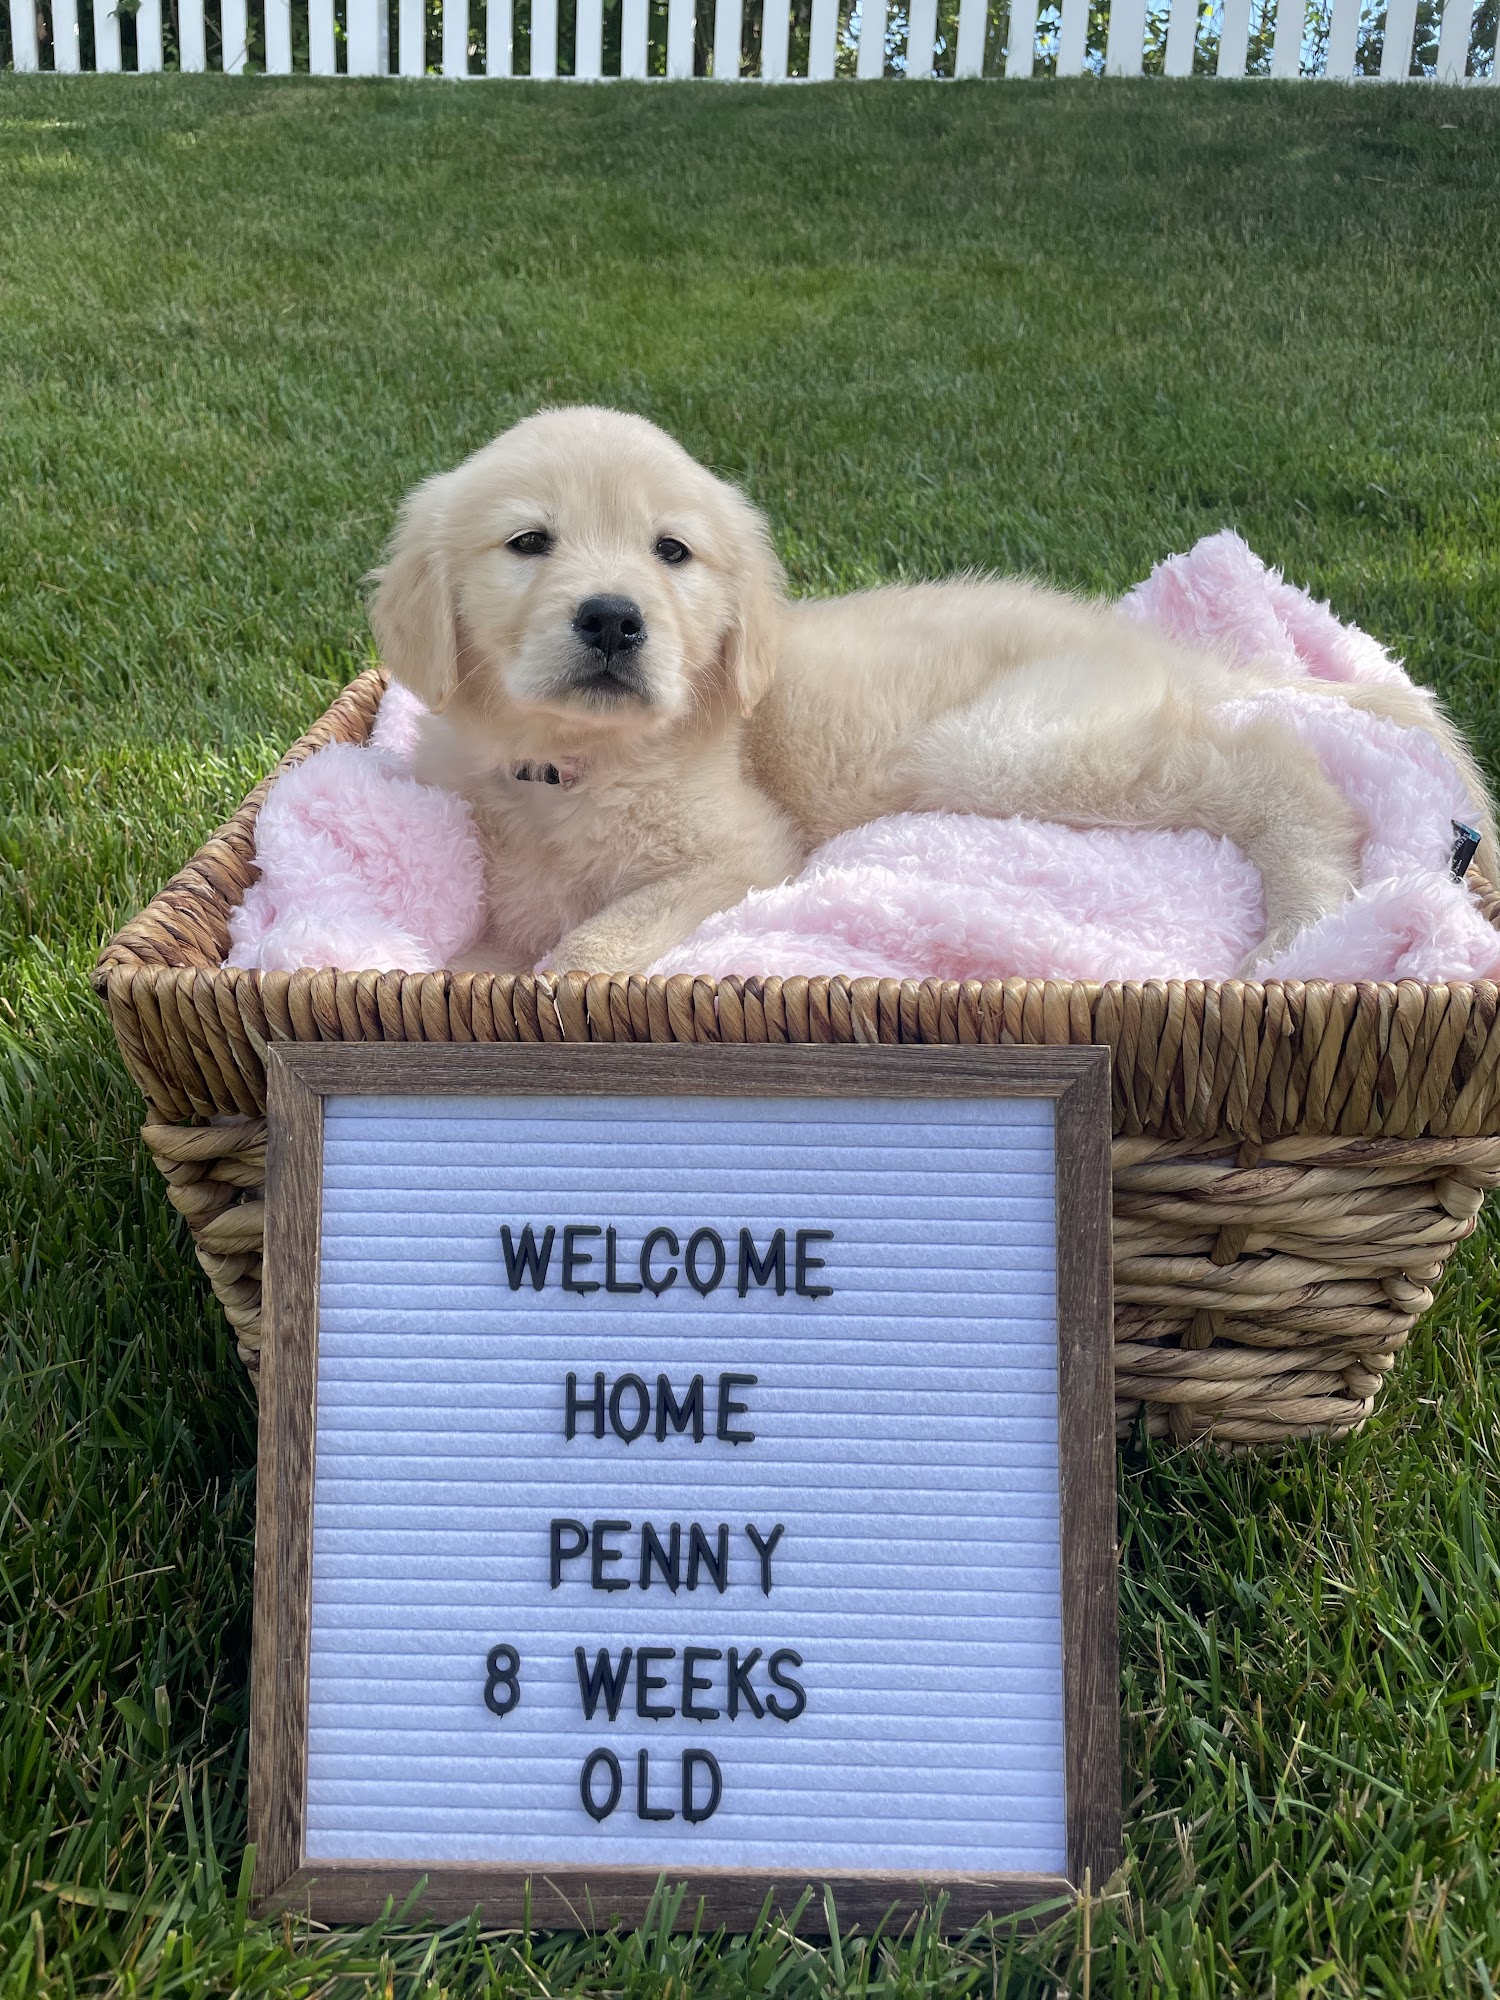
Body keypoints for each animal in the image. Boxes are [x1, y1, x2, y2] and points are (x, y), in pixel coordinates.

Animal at [370, 406, 1490, 976]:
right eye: (528, 542)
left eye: (672, 552)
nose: (612, 619)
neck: (569, 768)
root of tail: (1138, 637)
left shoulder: (748, 853)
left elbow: (599, 939)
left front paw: (568, 976)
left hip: (1006, 744)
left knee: (1276, 762)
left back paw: (1311, 923)